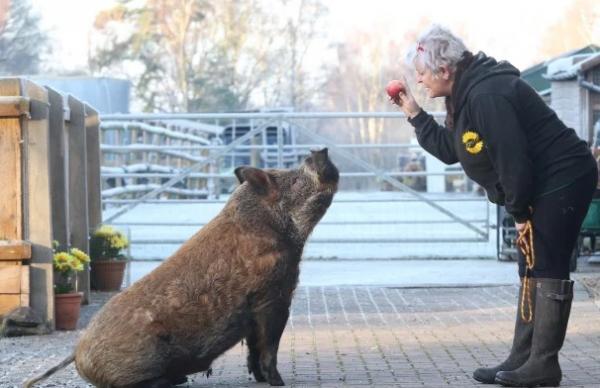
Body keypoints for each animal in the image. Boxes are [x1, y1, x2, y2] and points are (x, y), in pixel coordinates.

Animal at [24, 149, 338, 388]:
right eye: (295, 180)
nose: (319, 151)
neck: (276, 230)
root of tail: (77, 352)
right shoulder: (272, 296)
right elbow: (268, 345)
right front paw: (279, 382)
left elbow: (253, 348)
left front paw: (262, 379)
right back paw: (176, 380)